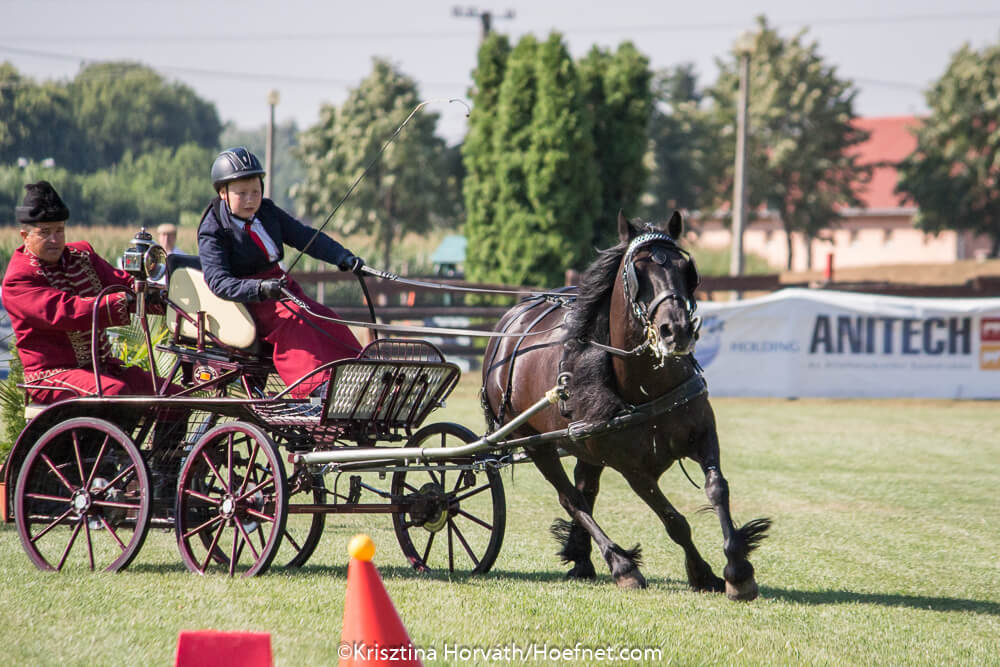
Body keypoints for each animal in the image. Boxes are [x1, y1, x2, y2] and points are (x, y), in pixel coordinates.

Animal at [480, 213, 768, 600]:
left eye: (686, 268)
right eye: (637, 272)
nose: (676, 330)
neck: (646, 385)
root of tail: (510, 323)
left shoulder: (704, 435)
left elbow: (717, 488)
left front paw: (738, 570)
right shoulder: (633, 469)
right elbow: (674, 521)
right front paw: (701, 572)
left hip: (582, 445)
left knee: (585, 492)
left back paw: (583, 560)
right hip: (535, 442)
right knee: (571, 499)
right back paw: (620, 565)